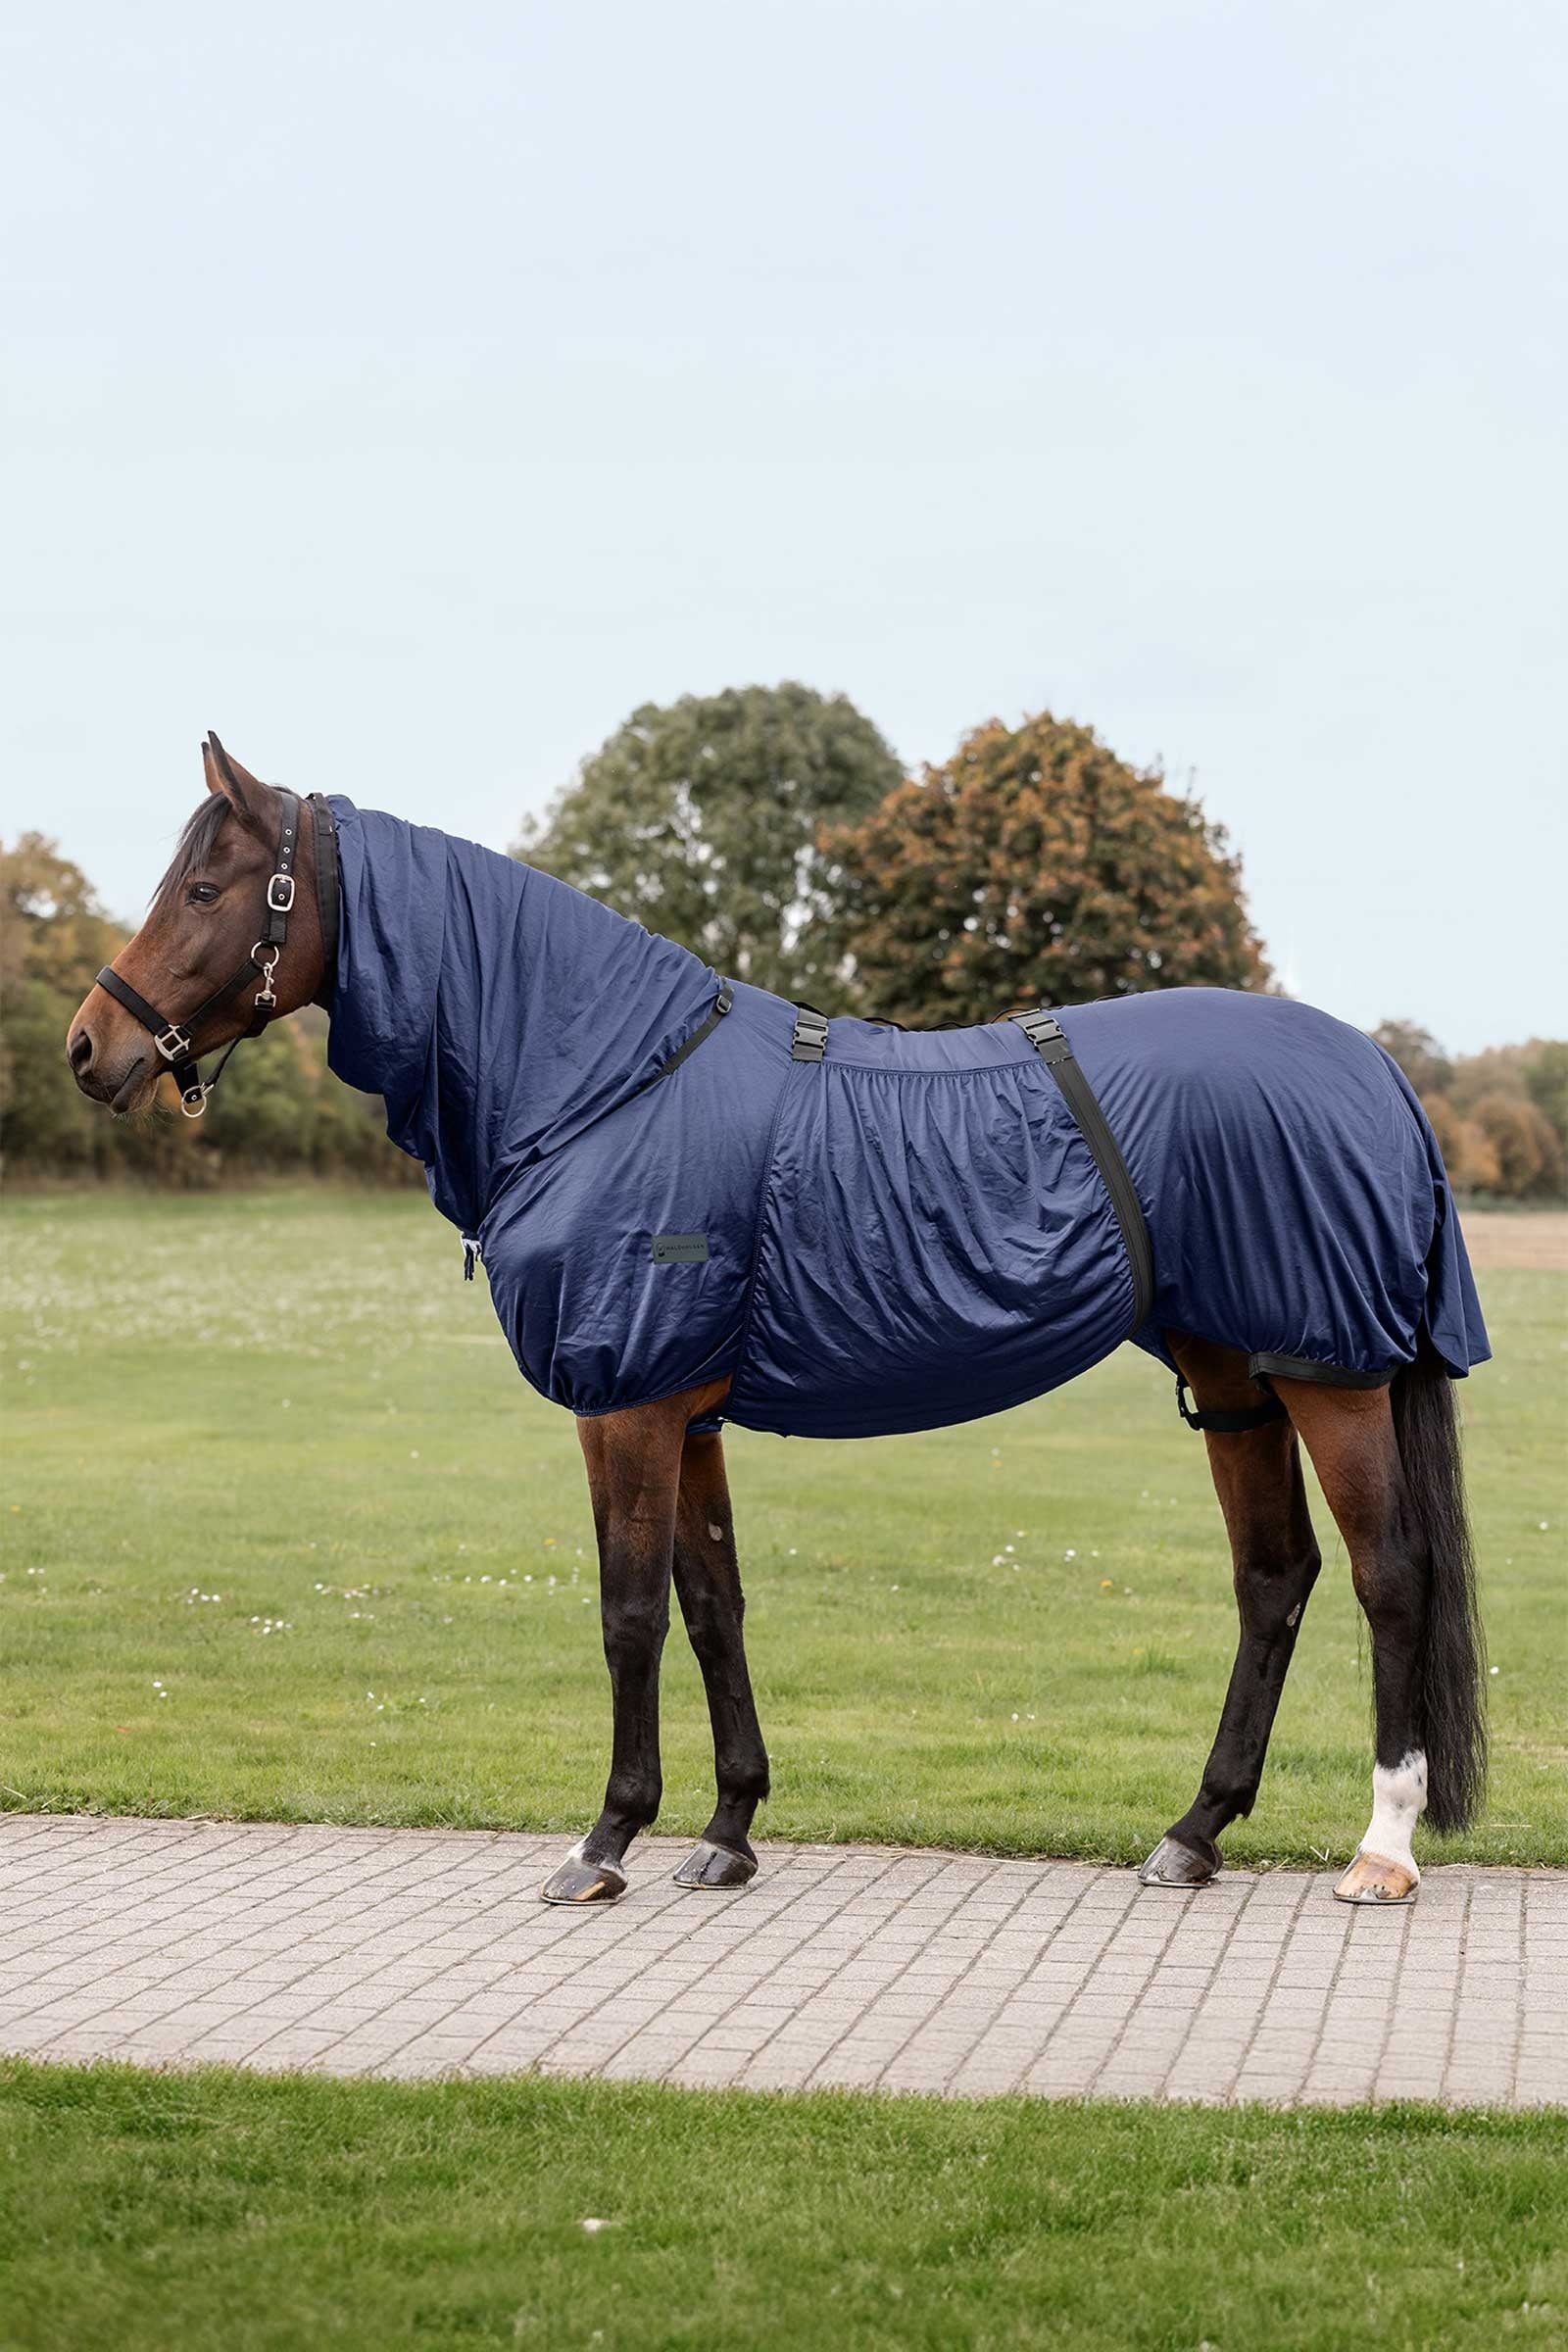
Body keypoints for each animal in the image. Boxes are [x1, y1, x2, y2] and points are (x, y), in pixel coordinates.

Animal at [67, 737, 1489, 1910]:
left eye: (207, 891)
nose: (89, 1050)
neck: (604, 1079)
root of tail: (1376, 1068)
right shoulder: (685, 1412)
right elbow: (713, 1606)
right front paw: (728, 1832)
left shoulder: (625, 1404)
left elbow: (628, 1611)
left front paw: (604, 1841)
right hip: (1235, 1377)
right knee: (1274, 1577)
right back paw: (1193, 1833)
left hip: (1331, 1376)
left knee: (1388, 1576)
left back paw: (1381, 1850)